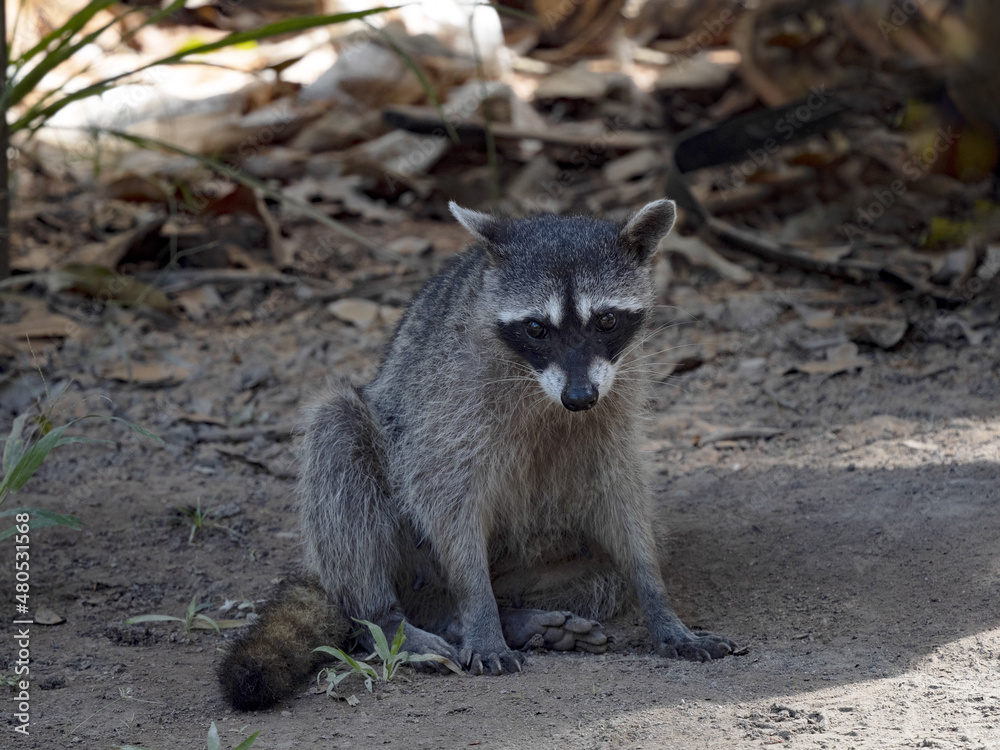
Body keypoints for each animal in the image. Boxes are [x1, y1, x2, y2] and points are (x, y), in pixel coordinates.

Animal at [219, 200, 736, 711]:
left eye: (606, 320)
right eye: (536, 328)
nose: (579, 397)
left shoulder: (615, 402)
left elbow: (624, 504)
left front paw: (659, 603)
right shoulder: (452, 406)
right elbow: (446, 498)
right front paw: (481, 619)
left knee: (606, 569)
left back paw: (500, 616)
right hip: (401, 531)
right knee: (338, 439)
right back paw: (390, 619)